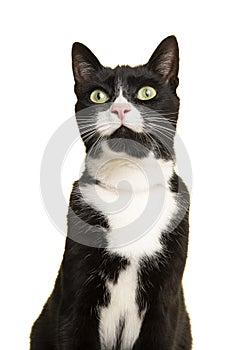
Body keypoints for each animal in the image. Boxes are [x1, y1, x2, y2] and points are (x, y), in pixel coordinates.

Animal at [30, 36, 192, 350]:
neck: (129, 186)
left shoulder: (165, 301)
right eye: (98, 96)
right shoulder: (77, 295)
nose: (119, 109)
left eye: (146, 92)